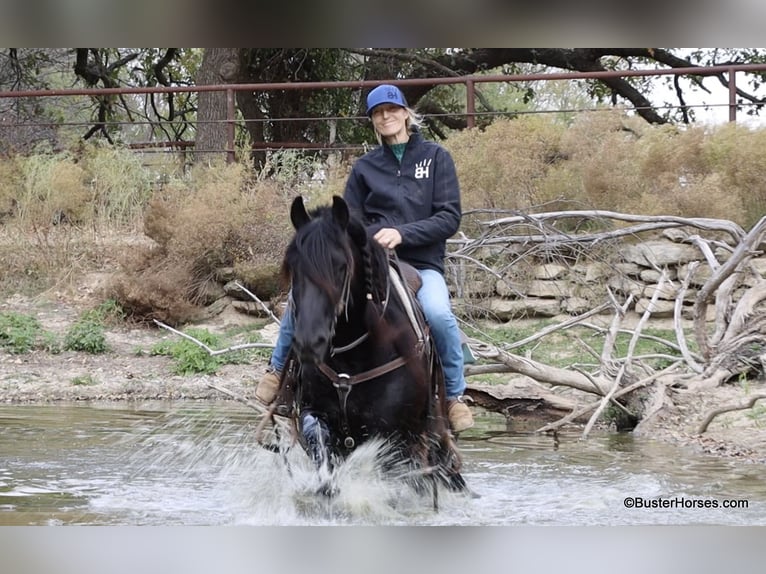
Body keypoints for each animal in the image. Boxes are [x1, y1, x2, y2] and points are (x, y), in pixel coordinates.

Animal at [272, 196, 472, 502]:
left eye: (342, 266)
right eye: (294, 267)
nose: (309, 342)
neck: (352, 358)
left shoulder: (400, 439)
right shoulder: (314, 414)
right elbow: (323, 458)